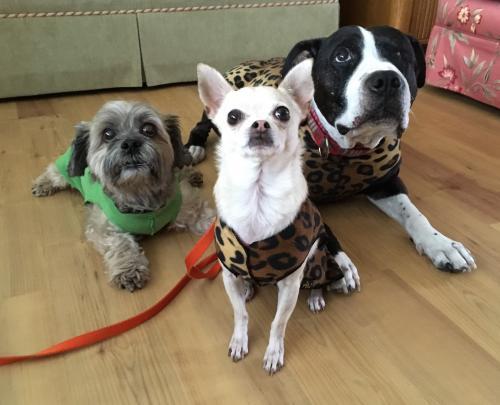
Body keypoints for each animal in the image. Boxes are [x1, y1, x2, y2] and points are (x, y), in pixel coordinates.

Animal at [32, 100, 214, 290]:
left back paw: (191, 174)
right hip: (64, 170)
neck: (141, 192)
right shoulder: (102, 226)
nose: (131, 143)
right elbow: (121, 243)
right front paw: (129, 270)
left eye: (148, 129)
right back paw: (43, 184)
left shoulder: (190, 206)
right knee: (54, 172)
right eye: (108, 133)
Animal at [186, 24, 474, 272]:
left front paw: (441, 243)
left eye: (400, 55)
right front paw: (333, 261)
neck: (348, 149)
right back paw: (192, 148)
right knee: (202, 125)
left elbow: (414, 214)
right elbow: (320, 227)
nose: (386, 79)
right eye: (342, 56)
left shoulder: (387, 184)